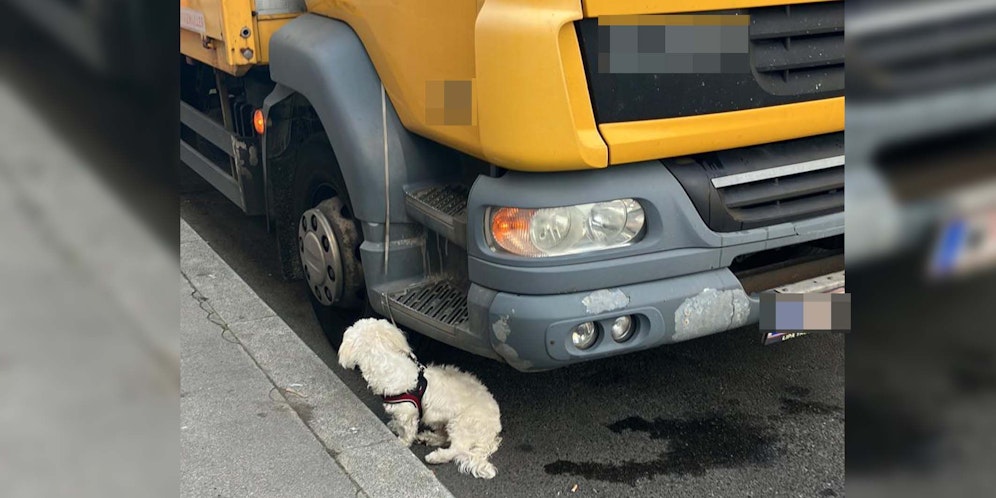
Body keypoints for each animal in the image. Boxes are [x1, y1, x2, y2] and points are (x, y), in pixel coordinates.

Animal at [338, 320, 502, 478]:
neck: (386, 361)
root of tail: (493, 430)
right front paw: (394, 426)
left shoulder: (408, 413)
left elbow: (407, 431)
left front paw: (402, 442)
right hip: (445, 422)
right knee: (444, 437)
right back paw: (427, 438)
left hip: (463, 423)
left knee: (457, 449)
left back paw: (436, 457)